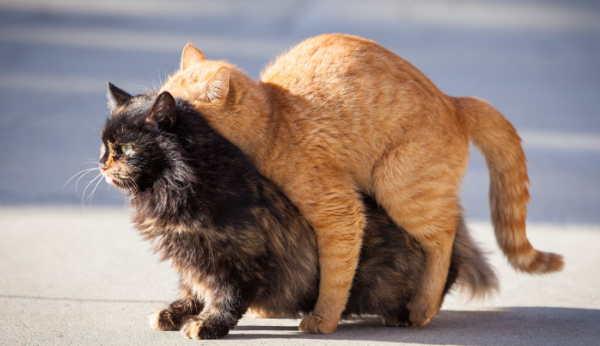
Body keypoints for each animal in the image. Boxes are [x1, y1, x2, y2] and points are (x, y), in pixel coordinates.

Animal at [99, 85, 496, 340]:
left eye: (128, 149)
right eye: (104, 145)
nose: (102, 164)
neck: (180, 186)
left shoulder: (239, 260)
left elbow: (225, 298)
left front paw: (207, 325)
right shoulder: (191, 259)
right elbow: (192, 289)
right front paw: (173, 313)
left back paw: (407, 313)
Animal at [159, 34, 564, 332]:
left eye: (178, 108)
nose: (156, 109)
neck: (274, 118)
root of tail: (454, 102)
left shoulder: (341, 211)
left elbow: (336, 275)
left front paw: (324, 319)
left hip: (397, 188)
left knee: (446, 236)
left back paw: (422, 307)